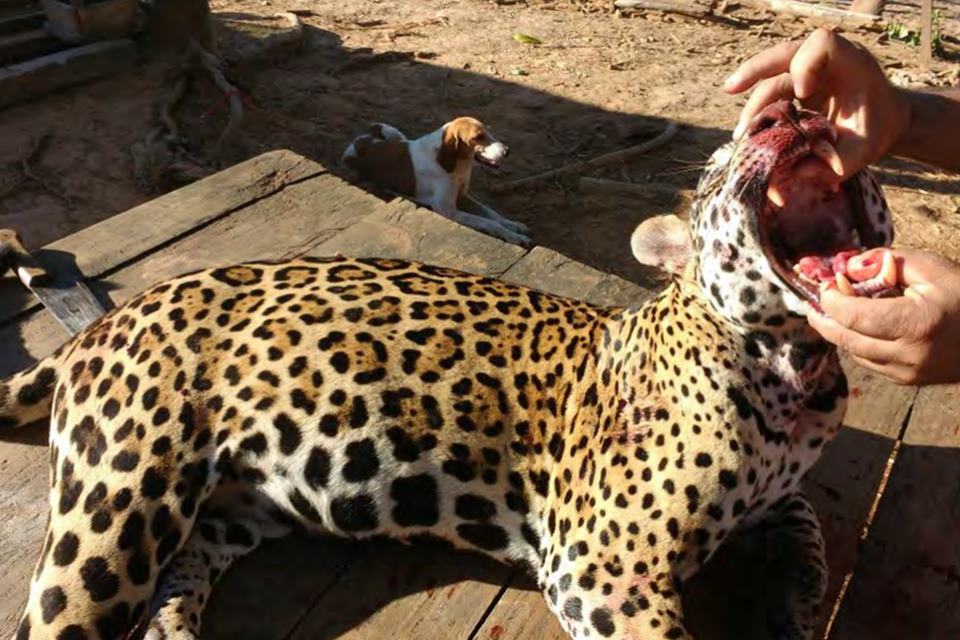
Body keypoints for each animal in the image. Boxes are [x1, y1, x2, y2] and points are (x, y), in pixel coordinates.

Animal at [340, 116, 532, 246]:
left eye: (488, 132)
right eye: (477, 137)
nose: (507, 151)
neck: (456, 165)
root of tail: (358, 140)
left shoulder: (463, 196)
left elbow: (492, 213)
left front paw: (514, 226)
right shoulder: (448, 211)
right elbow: (490, 223)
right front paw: (514, 237)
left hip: (394, 133)